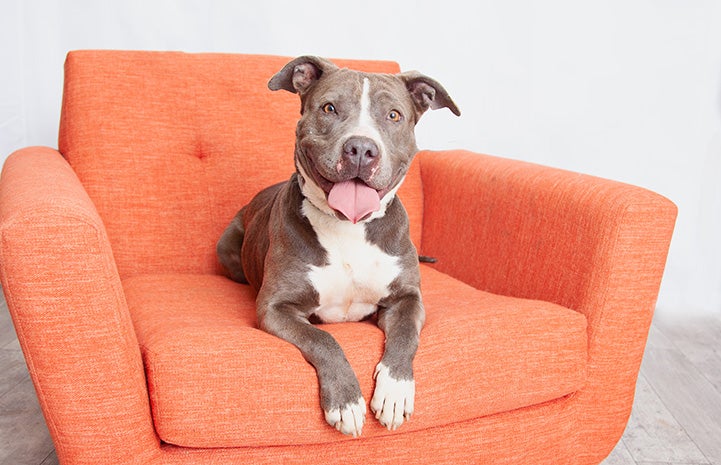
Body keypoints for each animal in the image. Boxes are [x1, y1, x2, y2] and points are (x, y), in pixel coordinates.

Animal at [217, 56, 458, 436]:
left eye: (393, 115)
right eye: (329, 108)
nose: (361, 148)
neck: (348, 227)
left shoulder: (407, 299)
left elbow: (406, 335)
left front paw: (394, 391)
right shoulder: (275, 308)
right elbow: (323, 339)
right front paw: (345, 402)